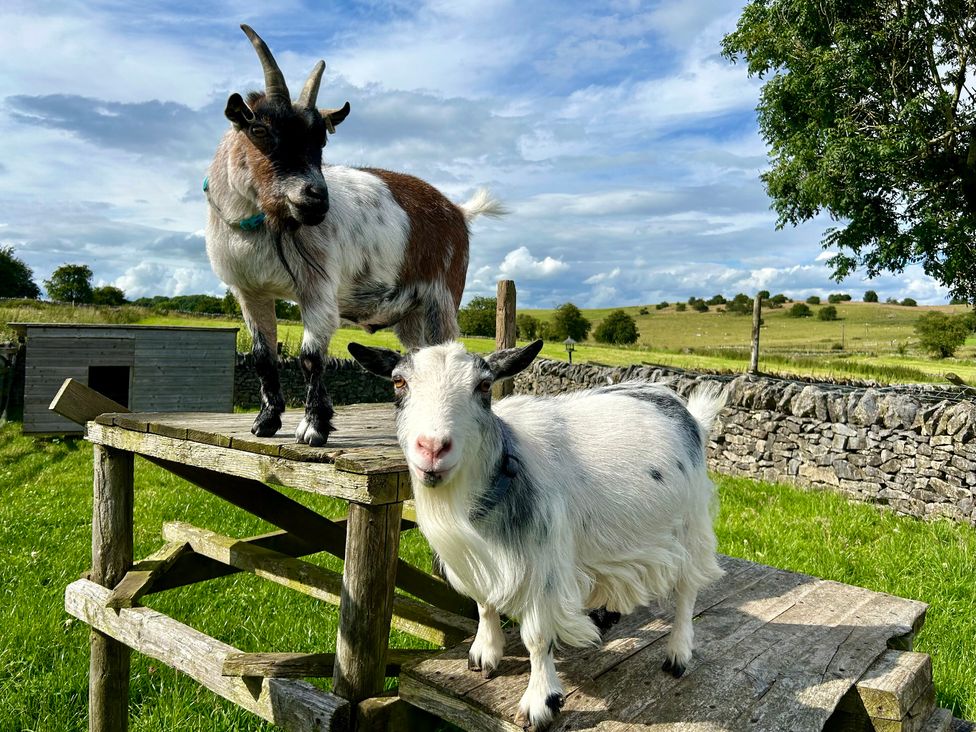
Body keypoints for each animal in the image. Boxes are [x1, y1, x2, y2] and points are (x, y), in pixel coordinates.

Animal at [348, 340, 724, 728]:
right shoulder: (483, 561)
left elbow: (537, 636)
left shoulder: (543, 567)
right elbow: (484, 603)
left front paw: (541, 700)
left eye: (484, 385)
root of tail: (685, 409)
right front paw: (485, 652)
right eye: (398, 382)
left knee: (688, 588)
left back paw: (678, 653)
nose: (433, 448)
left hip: (690, 523)